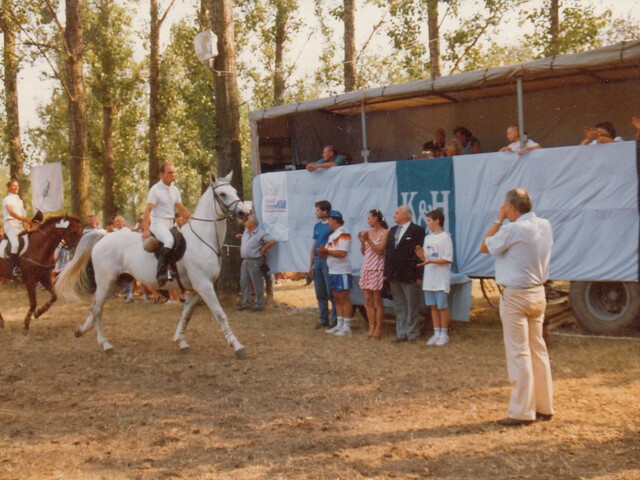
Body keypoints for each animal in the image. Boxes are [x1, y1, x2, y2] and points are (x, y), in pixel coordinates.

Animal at [55, 172, 250, 356]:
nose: (244, 213)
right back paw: (106, 345)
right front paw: (238, 346)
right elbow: (220, 314)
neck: (203, 239)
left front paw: (181, 342)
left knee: (95, 307)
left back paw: (82, 330)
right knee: (97, 309)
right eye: (223, 194)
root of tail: (104, 236)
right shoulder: (204, 285)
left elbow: (186, 314)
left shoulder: (196, 289)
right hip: (105, 282)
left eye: (235, 191)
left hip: (116, 283)